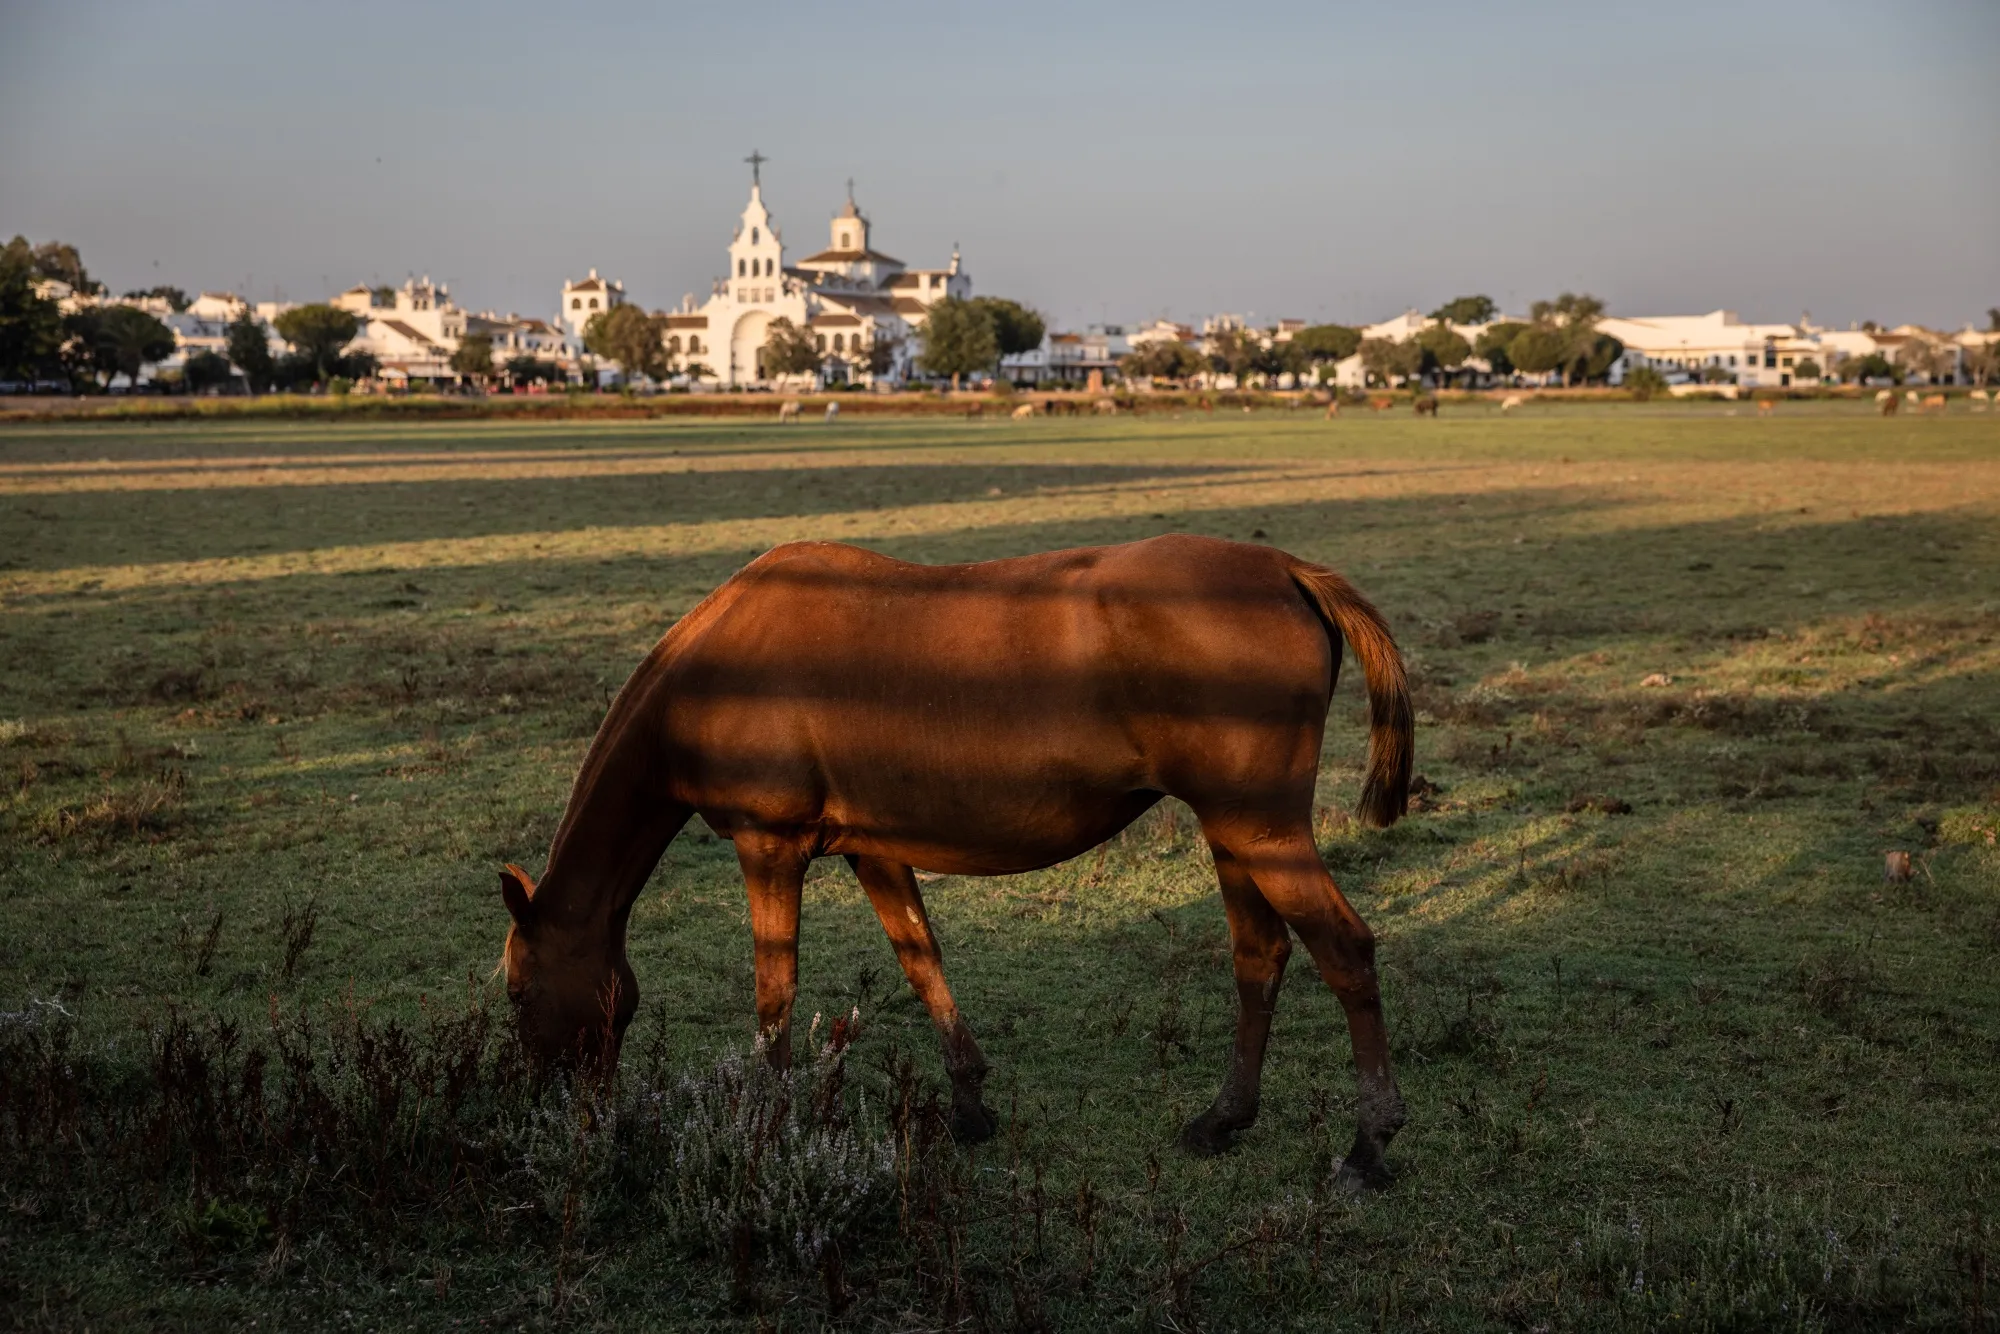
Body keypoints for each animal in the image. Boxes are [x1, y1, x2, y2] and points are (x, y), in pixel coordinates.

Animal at [495, 536, 1416, 1188]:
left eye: (517, 990)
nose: (543, 1104)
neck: (721, 665)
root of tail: (1288, 569)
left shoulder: (769, 846)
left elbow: (774, 991)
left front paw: (766, 1122)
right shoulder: (870, 849)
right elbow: (920, 957)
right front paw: (969, 1100)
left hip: (1263, 833)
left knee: (1346, 953)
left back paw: (1369, 1147)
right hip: (1234, 838)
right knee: (1259, 959)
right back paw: (1224, 1120)